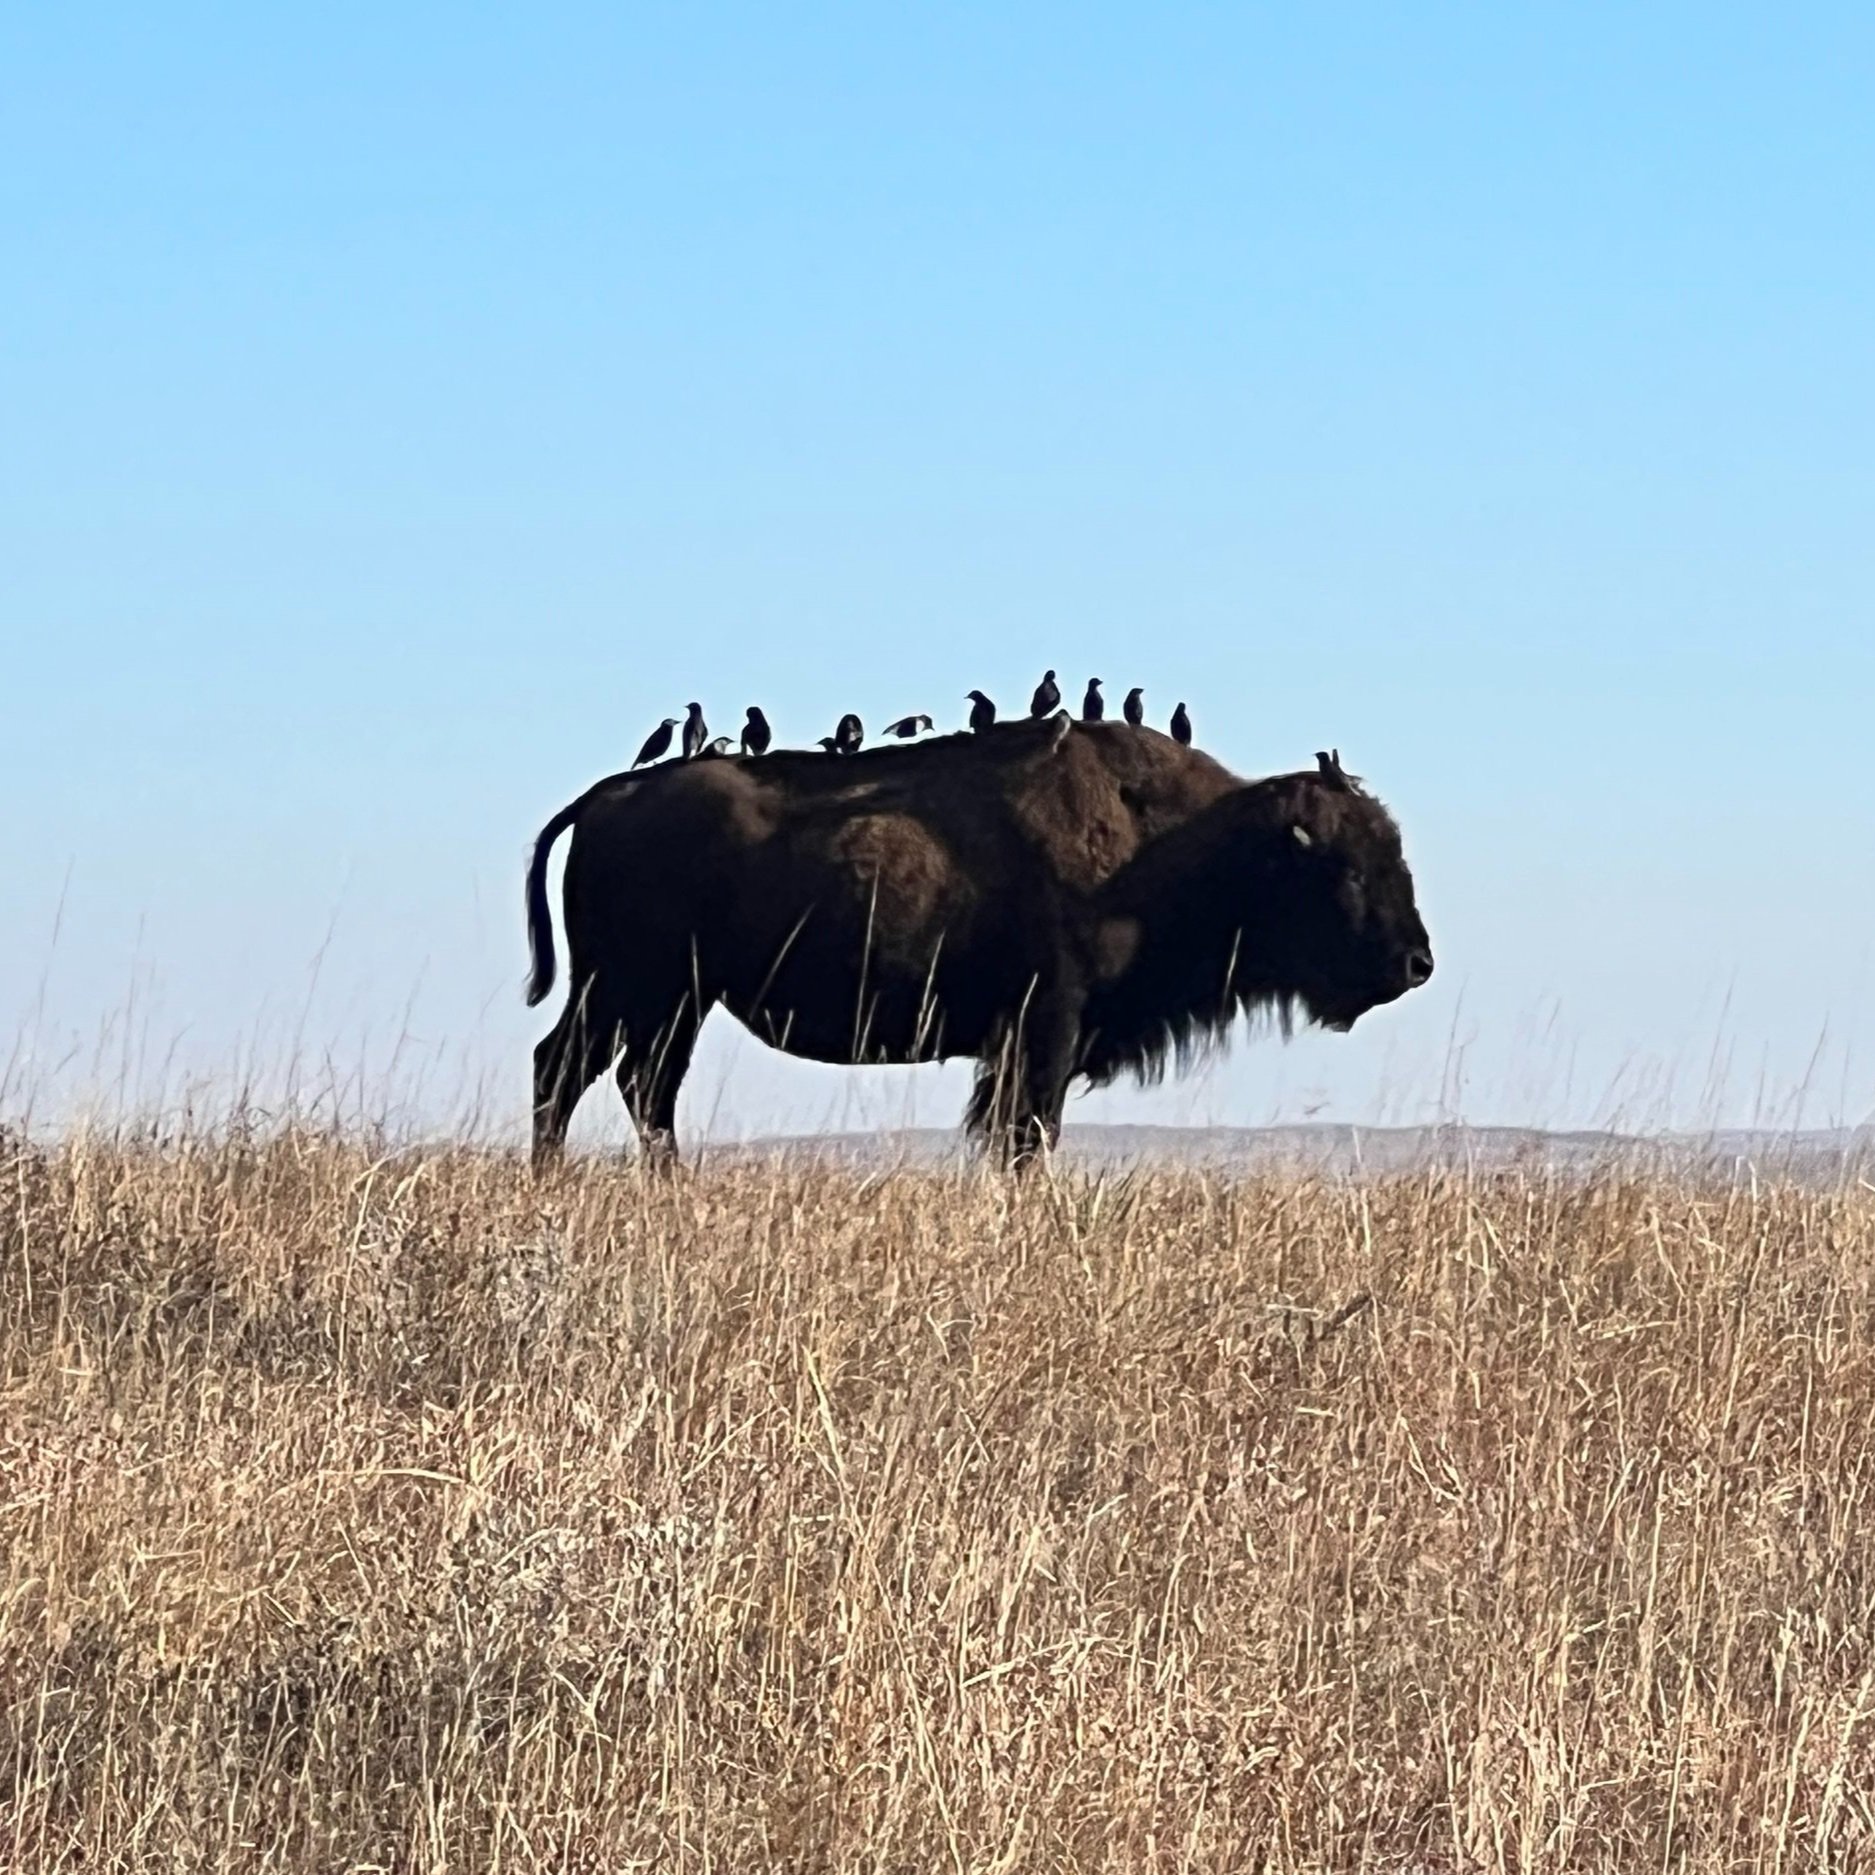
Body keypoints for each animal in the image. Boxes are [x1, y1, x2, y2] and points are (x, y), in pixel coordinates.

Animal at [525, 720, 1433, 1166]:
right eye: (1347, 871)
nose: (1415, 962)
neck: (1193, 842)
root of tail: (607, 798)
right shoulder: (1046, 1027)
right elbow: (1029, 1131)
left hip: (673, 1000)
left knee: (638, 1085)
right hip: (633, 990)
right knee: (569, 1070)